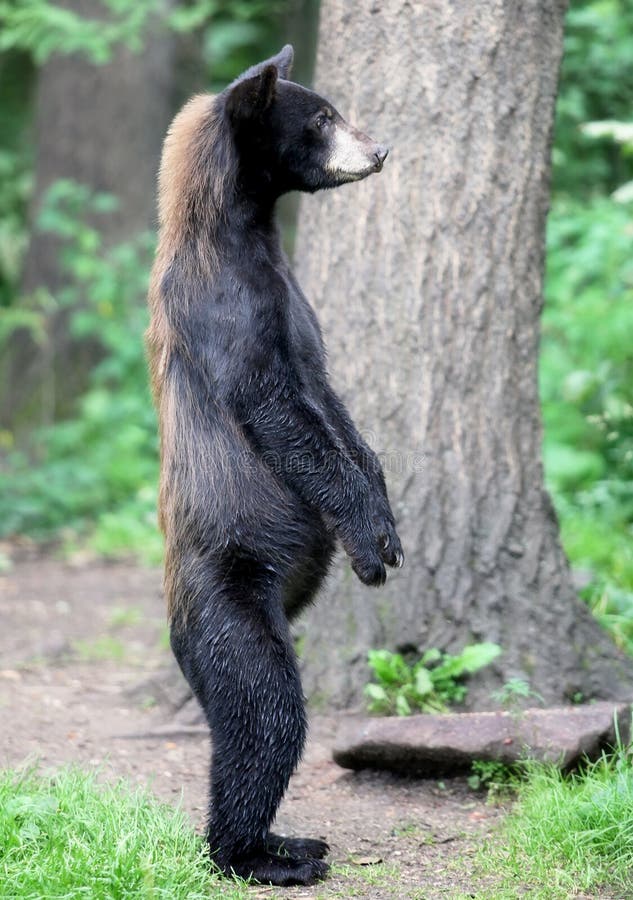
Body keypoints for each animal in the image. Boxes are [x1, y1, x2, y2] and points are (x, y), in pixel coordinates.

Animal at [146, 44, 402, 884]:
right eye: (321, 117)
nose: (379, 150)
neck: (244, 236)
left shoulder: (295, 304)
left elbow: (332, 403)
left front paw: (386, 511)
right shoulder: (227, 307)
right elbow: (280, 412)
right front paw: (370, 537)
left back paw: (287, 842)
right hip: (229, 607)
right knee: (263, 716)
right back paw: (265, 853)